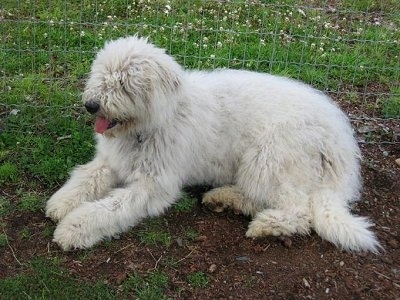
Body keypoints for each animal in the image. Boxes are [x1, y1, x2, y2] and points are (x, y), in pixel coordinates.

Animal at [45, 35, 380, 252]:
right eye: (100, 74)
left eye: (124, 82)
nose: (91, 105)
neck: (154, 122)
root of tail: (343, 147)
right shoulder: (110, 162)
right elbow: (85, 177)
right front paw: (61, 202)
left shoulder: (154, 185)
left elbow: (112, 206)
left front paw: (74, 228)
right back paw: (224, 198)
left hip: (268, 159)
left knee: (298, 211)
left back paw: (265, 224)